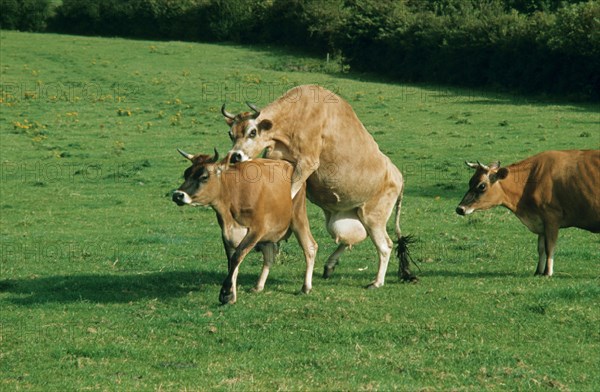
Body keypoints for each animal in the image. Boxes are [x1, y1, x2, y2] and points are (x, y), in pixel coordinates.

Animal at [171, 149, 316, 304]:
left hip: (298, 217)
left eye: (204, 176)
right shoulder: (226, 233)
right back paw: (258, 286)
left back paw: (306, 287)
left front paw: (225, 292)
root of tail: (288, 164)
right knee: (269, 255)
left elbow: (237, 257)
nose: (177, 195)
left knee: (310, 247)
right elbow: (231, 262)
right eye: (186, 173)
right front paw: (231, 295)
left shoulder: (257, 230)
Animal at [223, 85, 414, 288]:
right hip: (350, 216)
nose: (235, 156)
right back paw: (330, 265)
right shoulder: (275, 158)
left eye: (252, 132)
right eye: (231, 134)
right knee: (355, 238)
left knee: (385, 245)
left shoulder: (307, 163)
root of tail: (398, 175)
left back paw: (377, 282)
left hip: (374, 217)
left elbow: (291, 192)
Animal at [458, 150, 596, 276]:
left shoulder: (551, 218)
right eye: (470, 182)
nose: (460, 208)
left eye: (482, 186)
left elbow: (549, 247)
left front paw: (548, 272)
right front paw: (538, 271)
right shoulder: (541, 222)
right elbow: (540, 248)